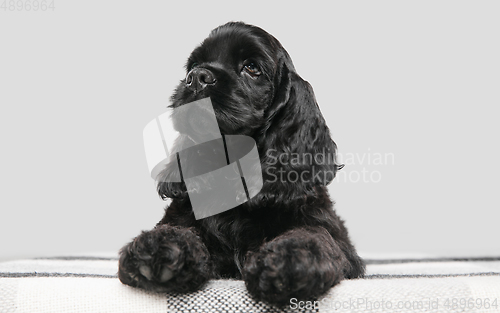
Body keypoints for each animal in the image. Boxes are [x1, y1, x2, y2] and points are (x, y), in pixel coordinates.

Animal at [119, 22, 366, 304]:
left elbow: (313, 234)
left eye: (251, 67)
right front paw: (158, 247)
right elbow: (178, 228)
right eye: (194, 64)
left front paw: (290, 259)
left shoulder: (332, 235)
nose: (197, 77)